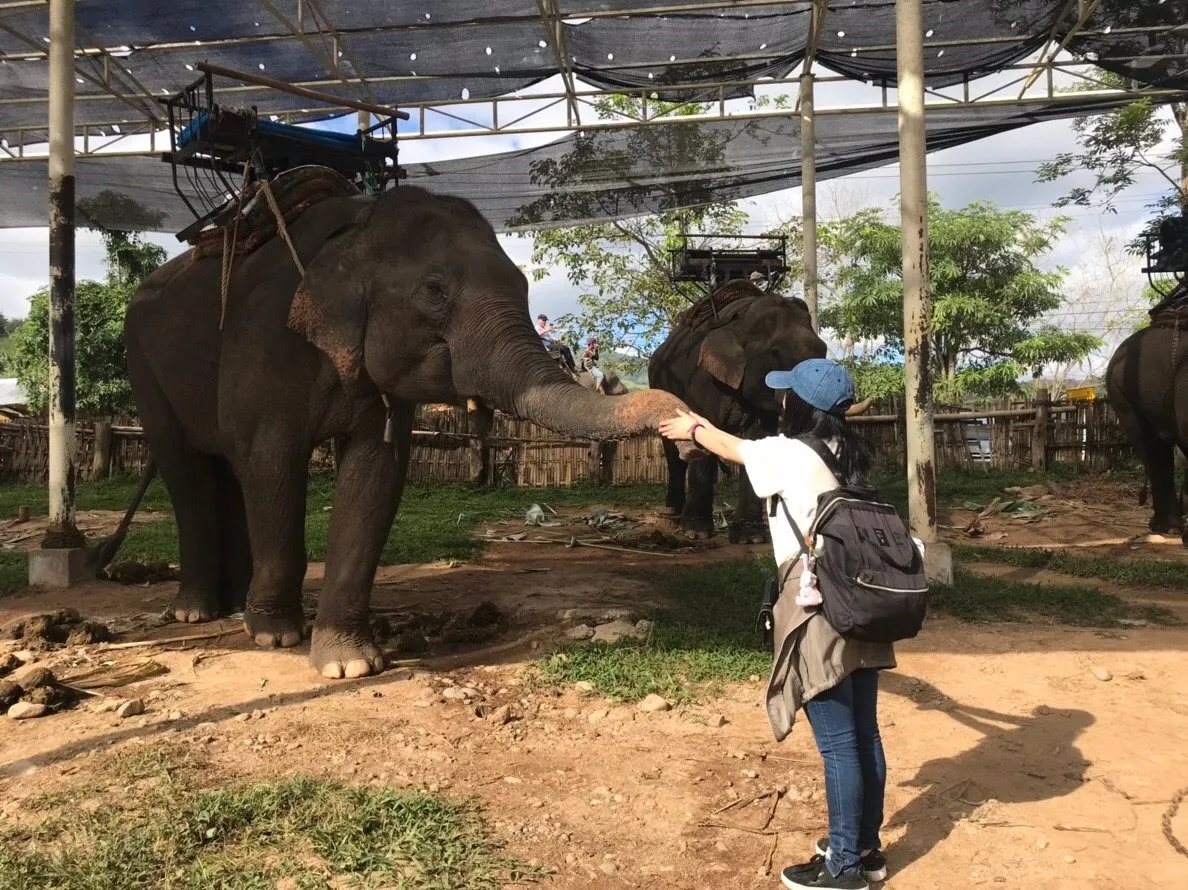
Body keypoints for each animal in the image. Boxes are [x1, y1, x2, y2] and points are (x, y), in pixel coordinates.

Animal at [122, 184, 693, 674]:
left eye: (524, 285)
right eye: (434, 291)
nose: (685, 425)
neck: (357, 225)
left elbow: (375, 474)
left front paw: (348, 663)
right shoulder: (263, 344)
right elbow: (271, 464)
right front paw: (276, 635)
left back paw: (233, 604)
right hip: (144, 368)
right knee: (187, 471)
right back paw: (198, 612)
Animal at [651, 281, 864, 541]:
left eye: (823, 349)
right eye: (775, 353)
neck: (740, 319)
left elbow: (755, 440)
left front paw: (750, 537)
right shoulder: (703, 381)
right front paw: (696, 533)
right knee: (673, 454)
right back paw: (673, 517)